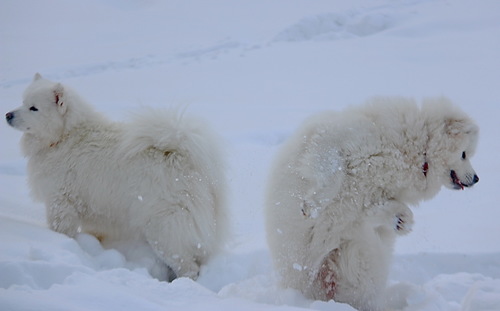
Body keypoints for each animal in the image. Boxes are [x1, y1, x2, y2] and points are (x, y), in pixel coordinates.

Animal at [5, 73, 229, 282]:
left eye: (33, 108)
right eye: (22, 101)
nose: (7, 114)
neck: (64, 136)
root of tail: (183, 158)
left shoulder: (59, 201)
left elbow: (61, 229)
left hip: (164, 230)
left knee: (187, 266)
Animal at [266, 97, 480, 310]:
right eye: (464, 154)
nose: (477, 179)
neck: (414, 152)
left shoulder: (372, 197)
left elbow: (375, 209)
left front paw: (402, 220)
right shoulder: (333, 139)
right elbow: (333, 172)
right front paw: (313, 205)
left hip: (359, 257)